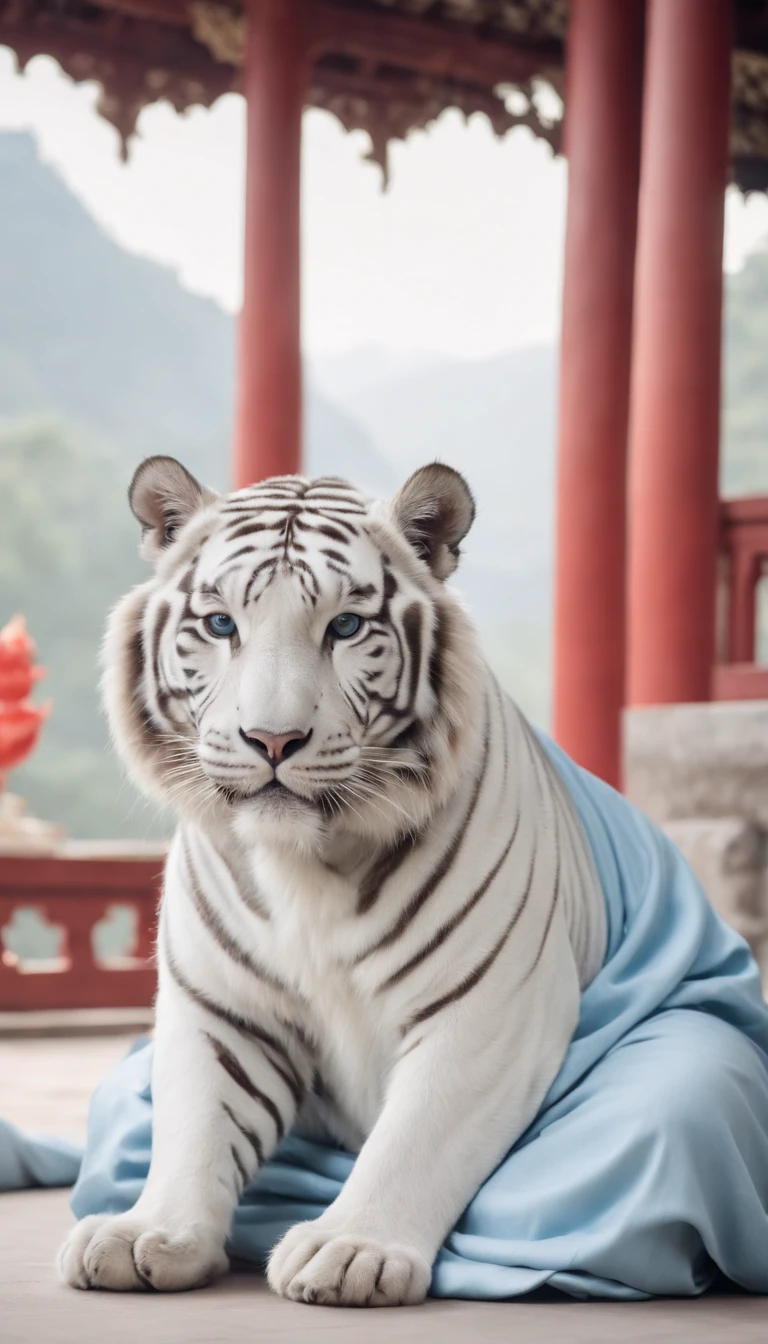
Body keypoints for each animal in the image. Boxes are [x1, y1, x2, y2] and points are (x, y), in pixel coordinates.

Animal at [58, 456, 607, 1306]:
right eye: (221, 626)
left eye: (345, 628)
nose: (273, 739)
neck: (305, 863)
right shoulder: (223, 1009)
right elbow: (194, 1126)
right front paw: (148, 1234)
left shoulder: (490, 1006)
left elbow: (419, 1135)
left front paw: (352, 1251)